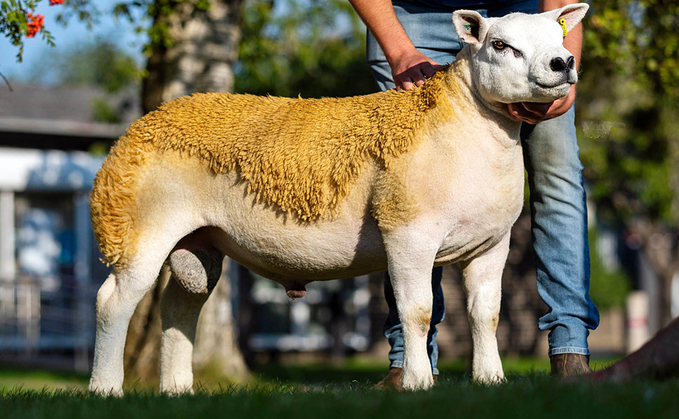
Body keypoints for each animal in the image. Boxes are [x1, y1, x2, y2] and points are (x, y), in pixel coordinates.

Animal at [89, 4, 588, 398]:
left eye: (559, 37)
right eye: (501, 45)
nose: (563, 62)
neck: (464, 125)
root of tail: (148, 120)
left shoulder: (492, 243)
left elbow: (486, 314)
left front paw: (491, 381)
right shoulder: (408, 232)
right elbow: (418, 310)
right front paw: (418, 383)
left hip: (199, 243)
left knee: (179, 307)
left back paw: (177, 389)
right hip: (138, 226)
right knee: (113, 301)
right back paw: (105, 388)